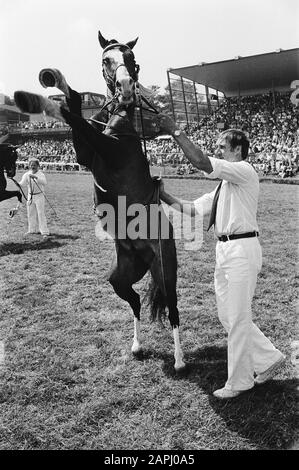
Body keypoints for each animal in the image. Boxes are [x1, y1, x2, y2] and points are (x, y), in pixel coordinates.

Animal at [14, 29, 188, 370]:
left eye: (131, 59)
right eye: (106, 59)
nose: (126, 87)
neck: (121, 117)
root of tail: (142, 254)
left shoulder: (111, 148)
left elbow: (78, 121)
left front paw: (56, 98)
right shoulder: (86, 155)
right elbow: (78, 125)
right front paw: (60, 88)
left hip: (164, 268)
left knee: (173, 307)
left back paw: (178, 360)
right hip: (120, 276)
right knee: (135, 301)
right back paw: (137, 346)